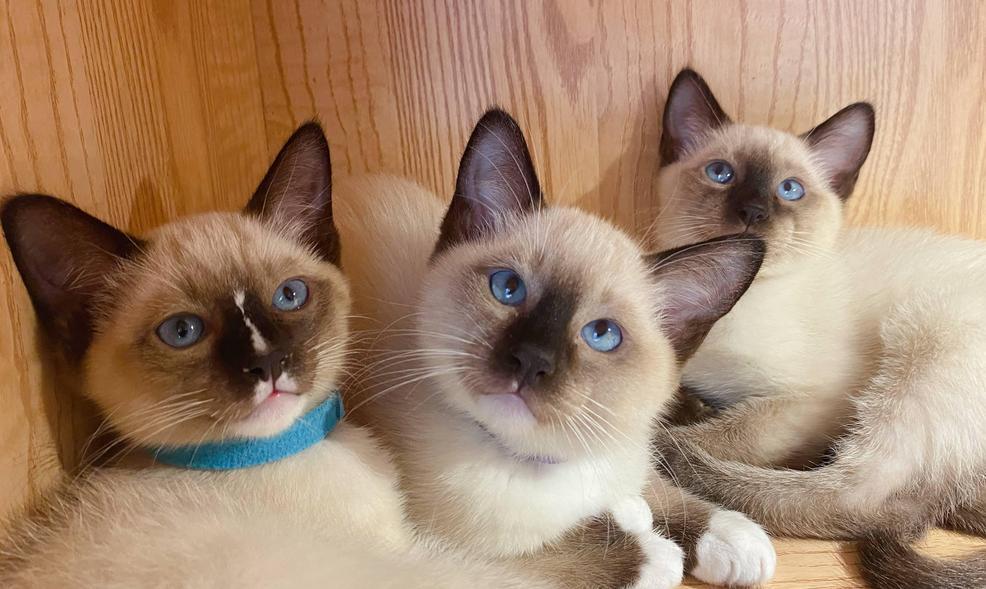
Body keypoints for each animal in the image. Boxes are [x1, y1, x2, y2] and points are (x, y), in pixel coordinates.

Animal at [334, 108, 776, 588]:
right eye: (508, 289)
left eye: (602, 334)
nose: (531, 362)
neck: (548, 461)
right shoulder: (452, 548)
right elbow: (589, 549)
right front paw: (652, 548)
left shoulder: (624, 454)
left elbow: (657, 490)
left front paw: (734, 538)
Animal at [650, 67, 986, 589]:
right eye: (721, 174)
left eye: (790, 189)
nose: (752, 213)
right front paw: (691, 406)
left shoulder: (810, 400)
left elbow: (732, 430)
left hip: (922, 332)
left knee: (874, 501)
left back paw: (678, 455)